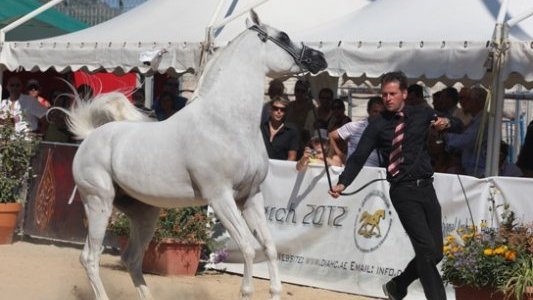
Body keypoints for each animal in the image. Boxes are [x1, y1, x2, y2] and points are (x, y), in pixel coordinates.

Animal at [64, 10, 326, 300]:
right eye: (283, 36)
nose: (319, 58)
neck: (225, 122)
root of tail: (90, 136)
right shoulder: (221, 197)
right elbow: (248, 249)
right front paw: (246, 290)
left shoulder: (250, 196)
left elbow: (269, 247)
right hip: (99, 202)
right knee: (90, 258)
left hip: (144, 212)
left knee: (131, 258)